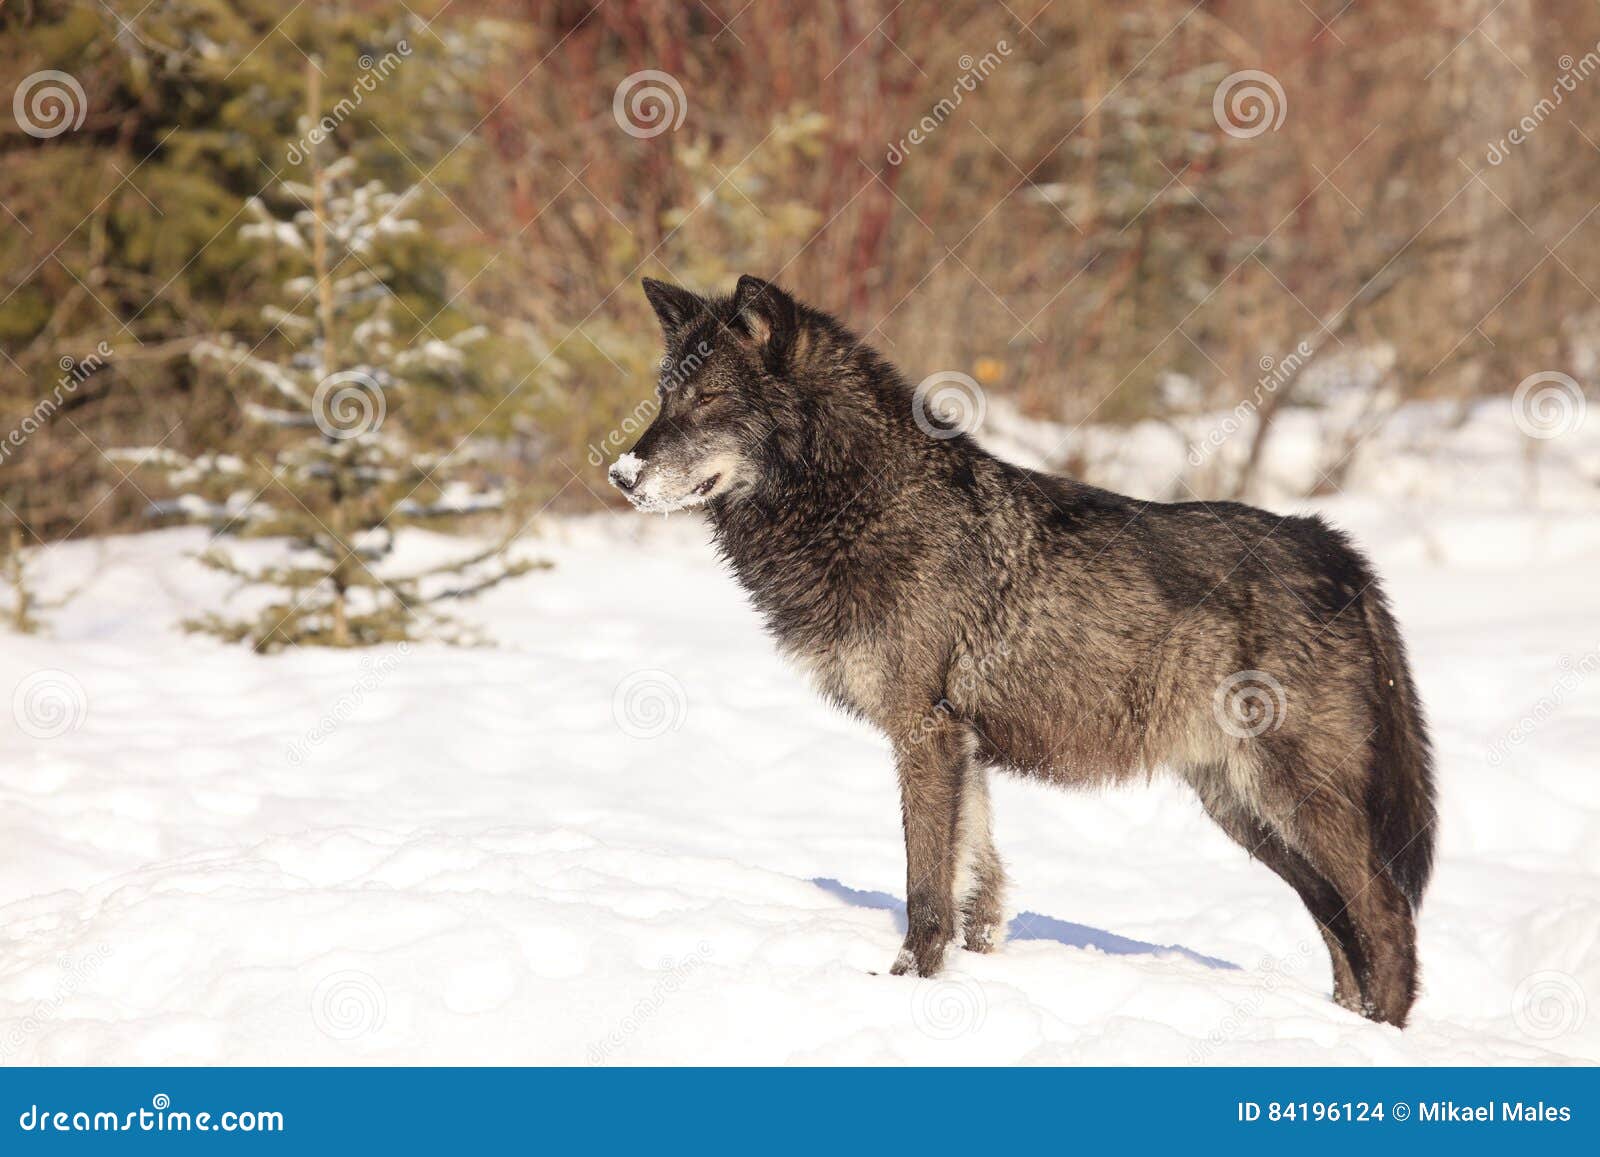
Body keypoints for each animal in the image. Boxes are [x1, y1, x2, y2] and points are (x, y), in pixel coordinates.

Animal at [608, 274, 1437, 1026]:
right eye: (664, 396)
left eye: (711, 399)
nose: (621, 473)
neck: (864, 502)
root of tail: (1336, 547)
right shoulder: (964, 747)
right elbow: (979, 887)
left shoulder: (925, 735)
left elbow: (925, 889)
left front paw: (903, 984)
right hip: (1243, 807)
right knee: (1339, 922)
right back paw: (1342, 1027)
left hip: (1293, 796)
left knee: (1386, 915)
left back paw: (1380, 1036)